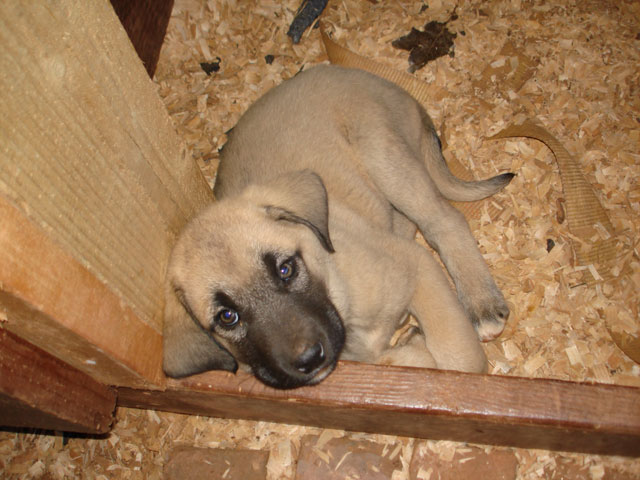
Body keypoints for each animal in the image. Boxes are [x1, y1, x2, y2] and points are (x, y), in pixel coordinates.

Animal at [162, 65, 512, 390]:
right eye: (227, 317)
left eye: (286, 269)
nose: (309, 360)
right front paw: (410, 346)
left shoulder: (417, 265)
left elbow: (457, 359)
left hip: (383, 153)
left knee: (443, 220)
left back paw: (481, 303)